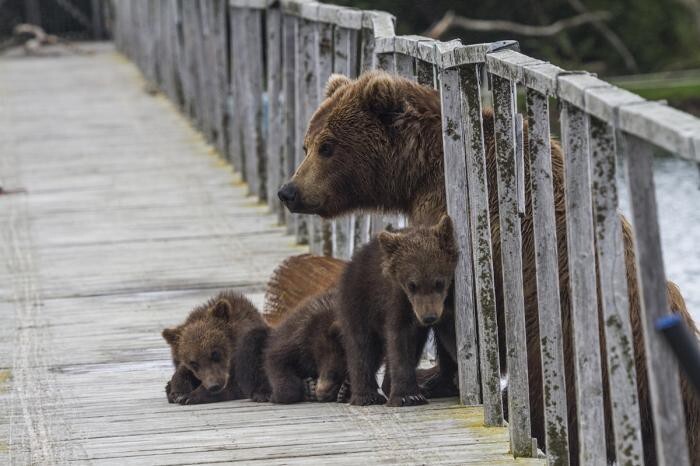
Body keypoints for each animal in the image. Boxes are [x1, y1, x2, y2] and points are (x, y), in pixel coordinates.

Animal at [278, 71, 700, 464]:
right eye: (307, 144)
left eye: (328, 147)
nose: (289, 191)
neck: (423, 170)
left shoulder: (455, 223)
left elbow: (443, 303)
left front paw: (433, 378)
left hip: (569, 347)